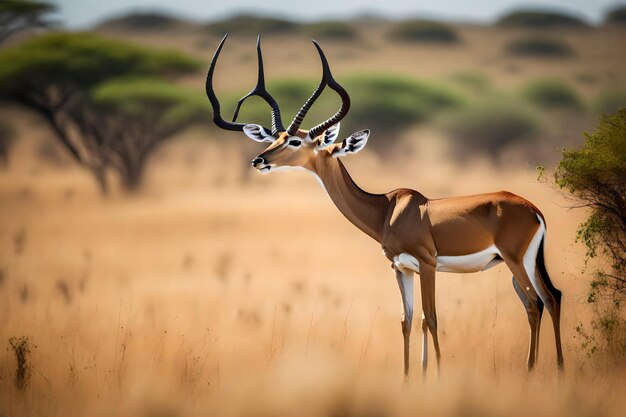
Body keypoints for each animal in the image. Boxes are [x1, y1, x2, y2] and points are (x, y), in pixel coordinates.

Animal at [204, 34, 560, 376]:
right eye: (274, 138)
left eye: (294, 140)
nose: (259, 160)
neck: (387, 210)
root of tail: (533, 210)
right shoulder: (400, 267)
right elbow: (408, 321)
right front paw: (409, 377)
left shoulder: (427, 265)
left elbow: (431, 319)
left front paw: (437, 376)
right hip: (522, 264)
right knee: (550, 298)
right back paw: (555, 368)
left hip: (515, 261)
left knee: (535, 303)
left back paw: (537, 370)